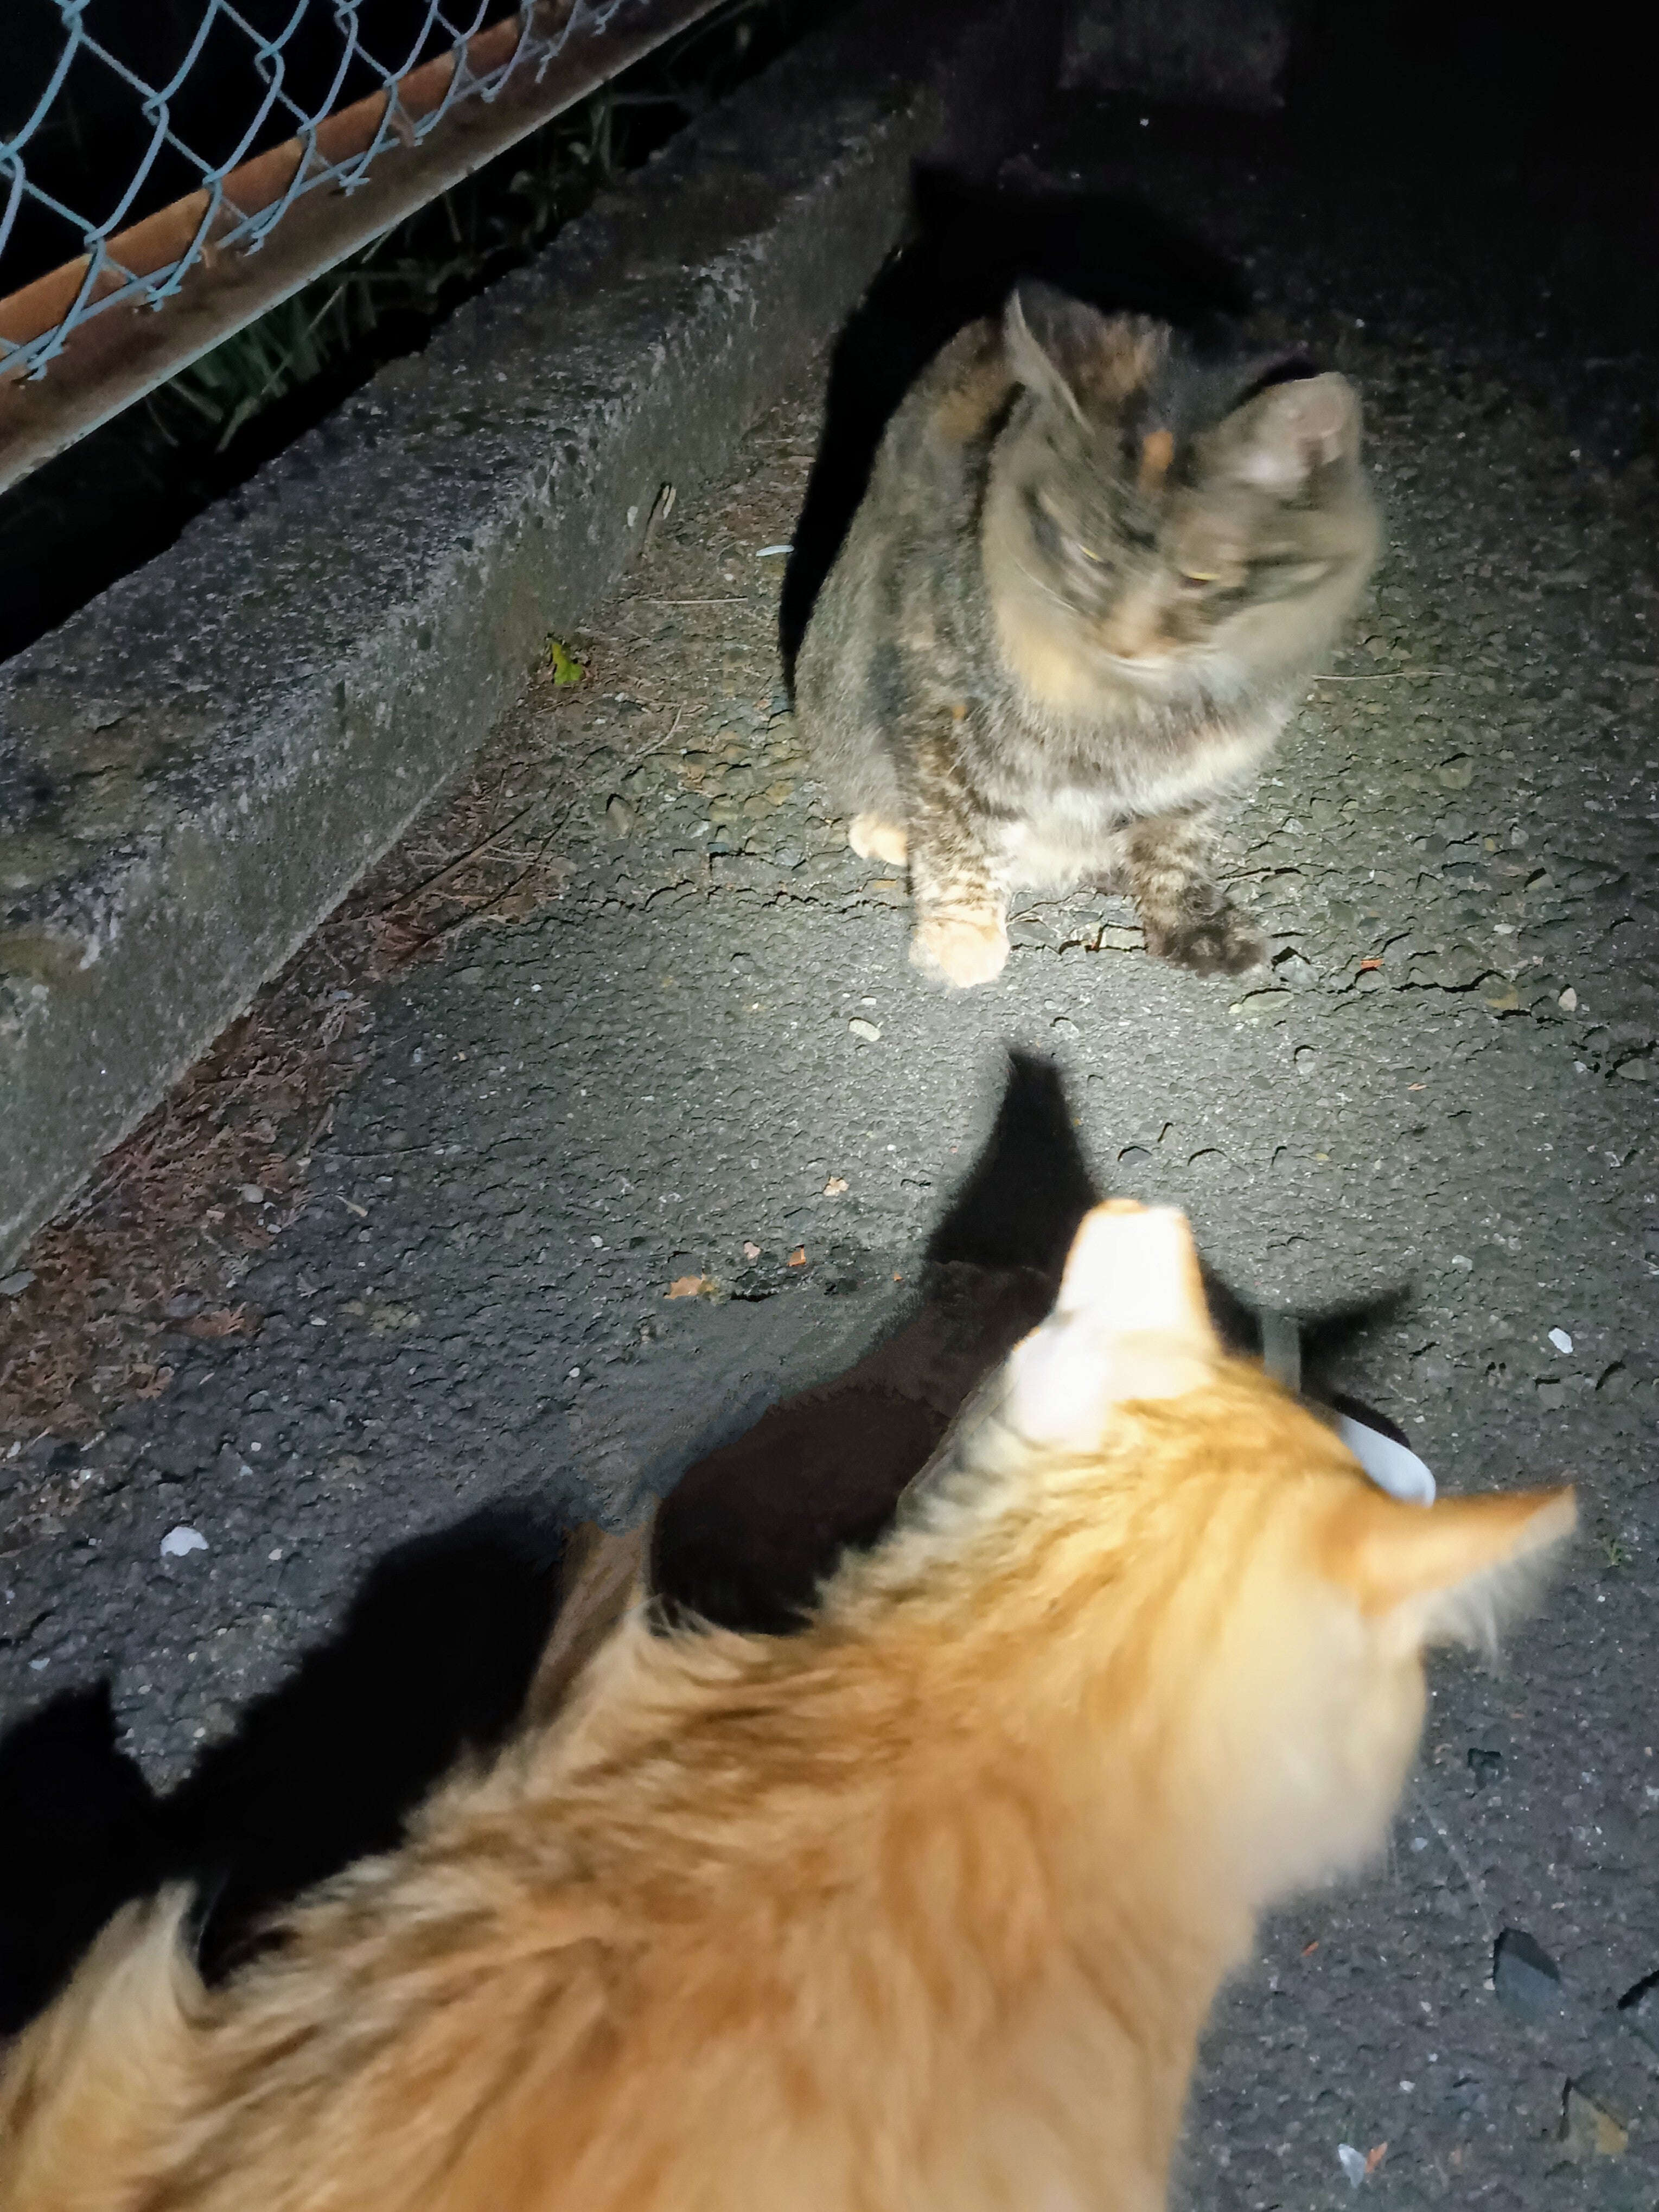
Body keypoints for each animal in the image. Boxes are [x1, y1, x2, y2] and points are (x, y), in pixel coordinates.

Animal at [795, 281, 1380, 986]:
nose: (1122, 640)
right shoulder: (939, 701)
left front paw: (1190, 921)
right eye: (1089, 554)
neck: (1142, 703)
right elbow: (958, 829)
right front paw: (960, 936)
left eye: (1200, 576)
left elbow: (1176, 843)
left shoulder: (1204, 764)